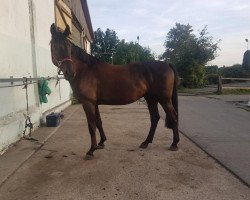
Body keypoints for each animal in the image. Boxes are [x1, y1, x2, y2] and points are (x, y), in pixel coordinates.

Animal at [49, 23, 179, 159]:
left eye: (69, 47)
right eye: (55, 46)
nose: (69, 72)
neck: (85, 70)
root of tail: (167, 64)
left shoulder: (88, 103)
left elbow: (91, 126)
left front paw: (91, 150)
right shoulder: (94, 103)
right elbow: (99, 122)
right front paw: (101, 143)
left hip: (164, 99)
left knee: (173, 116)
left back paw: (174, 144)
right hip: (151, 98)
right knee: (155, 118)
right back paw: (146, 142)